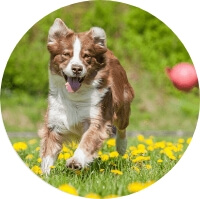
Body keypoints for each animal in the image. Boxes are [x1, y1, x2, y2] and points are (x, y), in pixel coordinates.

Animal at [38, 18, 134, 174]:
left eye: (87, 56)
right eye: (66, 54)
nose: (77, 68)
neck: (75, 96)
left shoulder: (97, 119)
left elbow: (87, 142)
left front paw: (75, 162)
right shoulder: (54, 121)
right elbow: (48, 152)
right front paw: (45, 174)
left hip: (122, 105)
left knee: (122, 126)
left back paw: (121, 147)